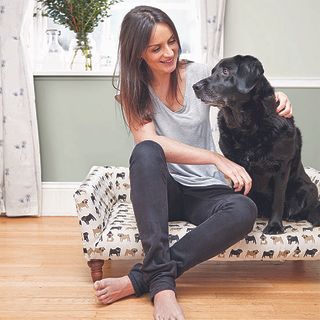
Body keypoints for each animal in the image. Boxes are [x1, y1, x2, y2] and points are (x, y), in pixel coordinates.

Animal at [192, 55, 320, 234]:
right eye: (212, 72)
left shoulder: (282, 167)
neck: (246, 125)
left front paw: (275, 226)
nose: (195, 87)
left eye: (225, 71)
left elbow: (278, 200)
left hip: (308, 188)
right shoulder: (236, 167)